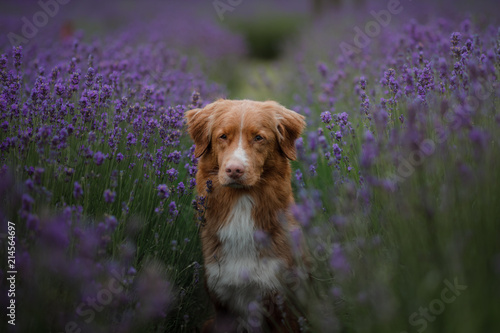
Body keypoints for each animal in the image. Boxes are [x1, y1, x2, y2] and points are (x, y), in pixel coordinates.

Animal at [186, 99, 306, 332]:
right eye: (223, 136)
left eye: (259, 137)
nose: (234, 170)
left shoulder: (283, 303)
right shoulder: (223, 303)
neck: (241, 206)